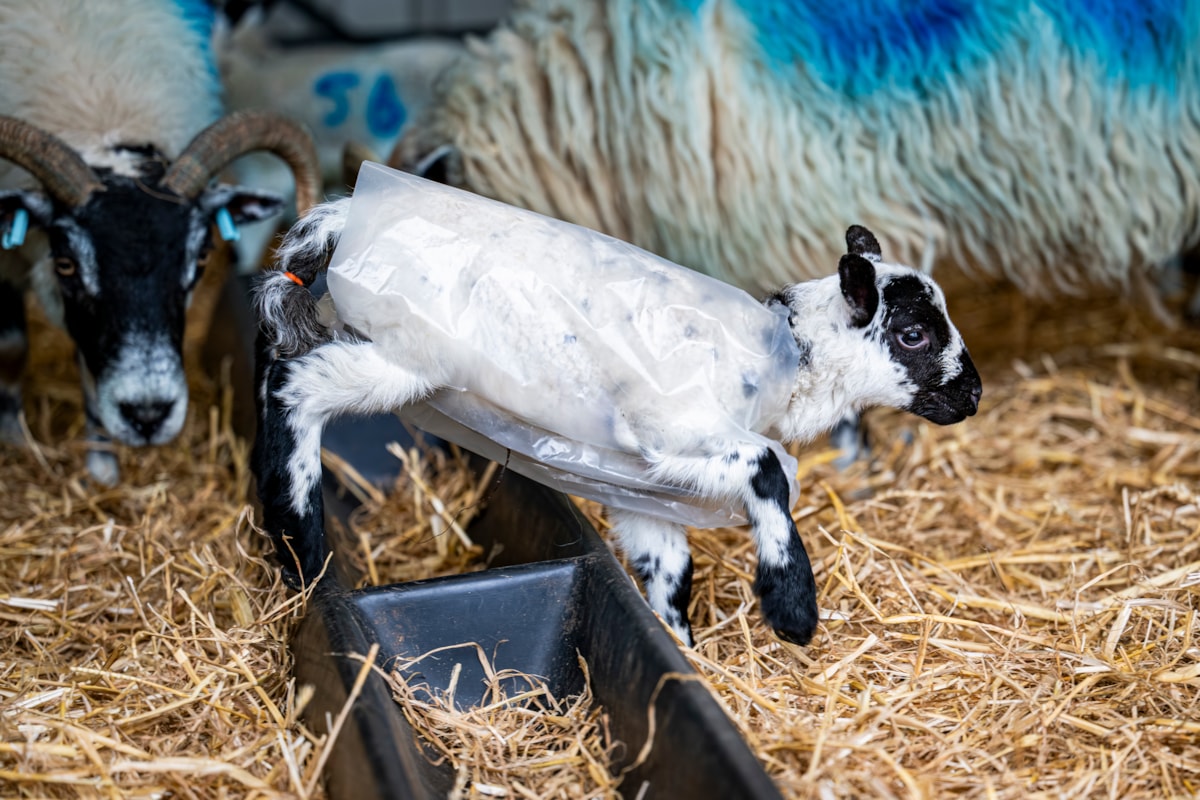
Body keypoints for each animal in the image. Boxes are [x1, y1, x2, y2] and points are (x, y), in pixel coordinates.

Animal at [0, 0, 322, 484]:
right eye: (65, 264)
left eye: (201, 258)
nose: (148, 414)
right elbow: (12, 345)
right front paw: (15, 438)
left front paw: (102, 467)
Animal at [250, 165, 982, 646]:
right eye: (912, 335)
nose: (972, 394)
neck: (782, 353)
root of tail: (351, 212)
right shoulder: (679, 425)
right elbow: (771, 471)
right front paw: (792, 605)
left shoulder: (642, 472)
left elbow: (669, 567)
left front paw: (681, 650)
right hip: (408, 354)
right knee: (294, 388)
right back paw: (300, 541)